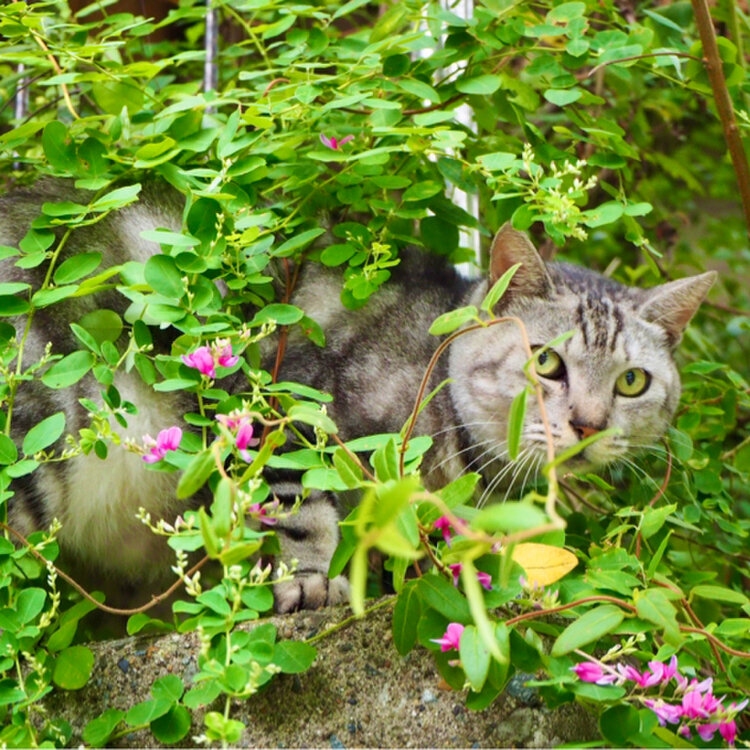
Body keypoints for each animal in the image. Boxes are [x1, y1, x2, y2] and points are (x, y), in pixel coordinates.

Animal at [0, 179, 716, 613]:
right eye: (548, 363)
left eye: (632, 382)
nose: (590, 424)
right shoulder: (290, 400)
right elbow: (302, 506)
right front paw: (311, 580)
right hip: (43, 439)